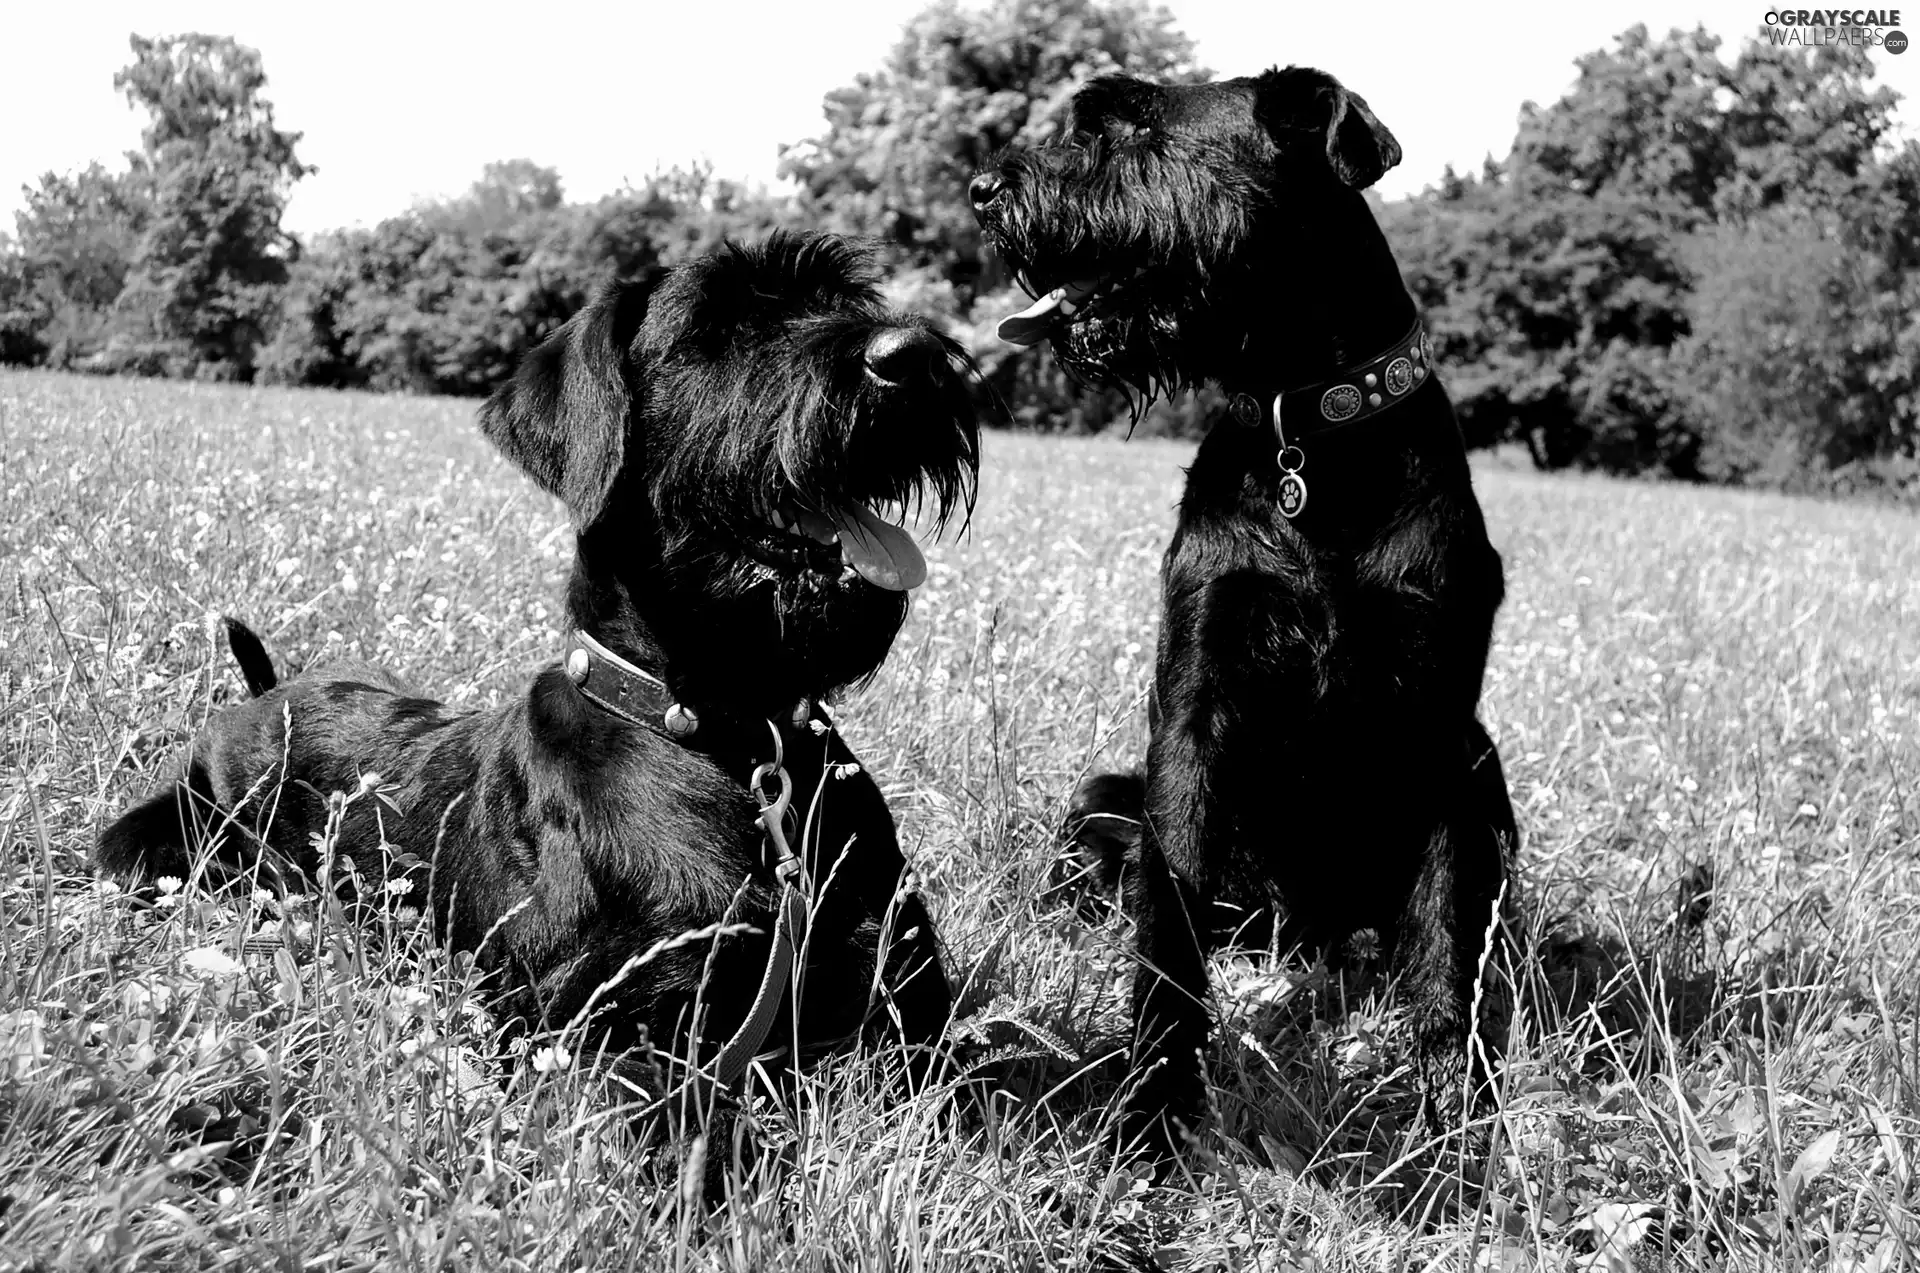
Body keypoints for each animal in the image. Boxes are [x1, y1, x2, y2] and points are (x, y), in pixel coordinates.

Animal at [93, 236, 975, 1105]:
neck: (738, 737)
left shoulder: (913, 1000)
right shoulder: (600, 1030)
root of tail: (264, 694)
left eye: (849, 299)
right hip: (158, 843)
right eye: (716, 328)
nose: (917, 355)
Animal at [975, 67, 1512, 1152]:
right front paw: (1152, 1108)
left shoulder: (1440, 725)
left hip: (1486, 775)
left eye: (1133, 128)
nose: (983, 189)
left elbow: (1445, 923)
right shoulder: (1195, 703)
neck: (1310, 438)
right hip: (1105, 797)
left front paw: (1448, 1112)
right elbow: (1168, 927)